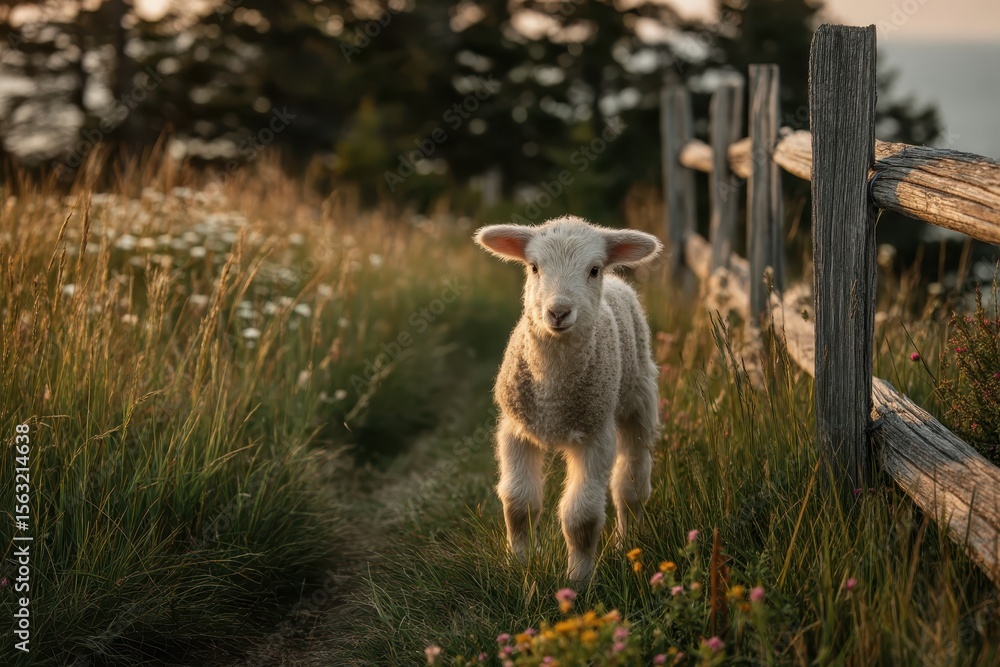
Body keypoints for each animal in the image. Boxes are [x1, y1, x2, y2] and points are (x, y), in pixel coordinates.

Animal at [474, 215, 662, 582]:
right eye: (533, 267)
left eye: (593, 269)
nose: (558, 312)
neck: (553, 395)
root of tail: (618, 281)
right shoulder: (516, 429)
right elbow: (519, 502)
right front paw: (520, 565)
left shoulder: (594, 435)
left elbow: (582, 517)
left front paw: (578, 581)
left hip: (638, 399)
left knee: (630, 486)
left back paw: (626, 544)